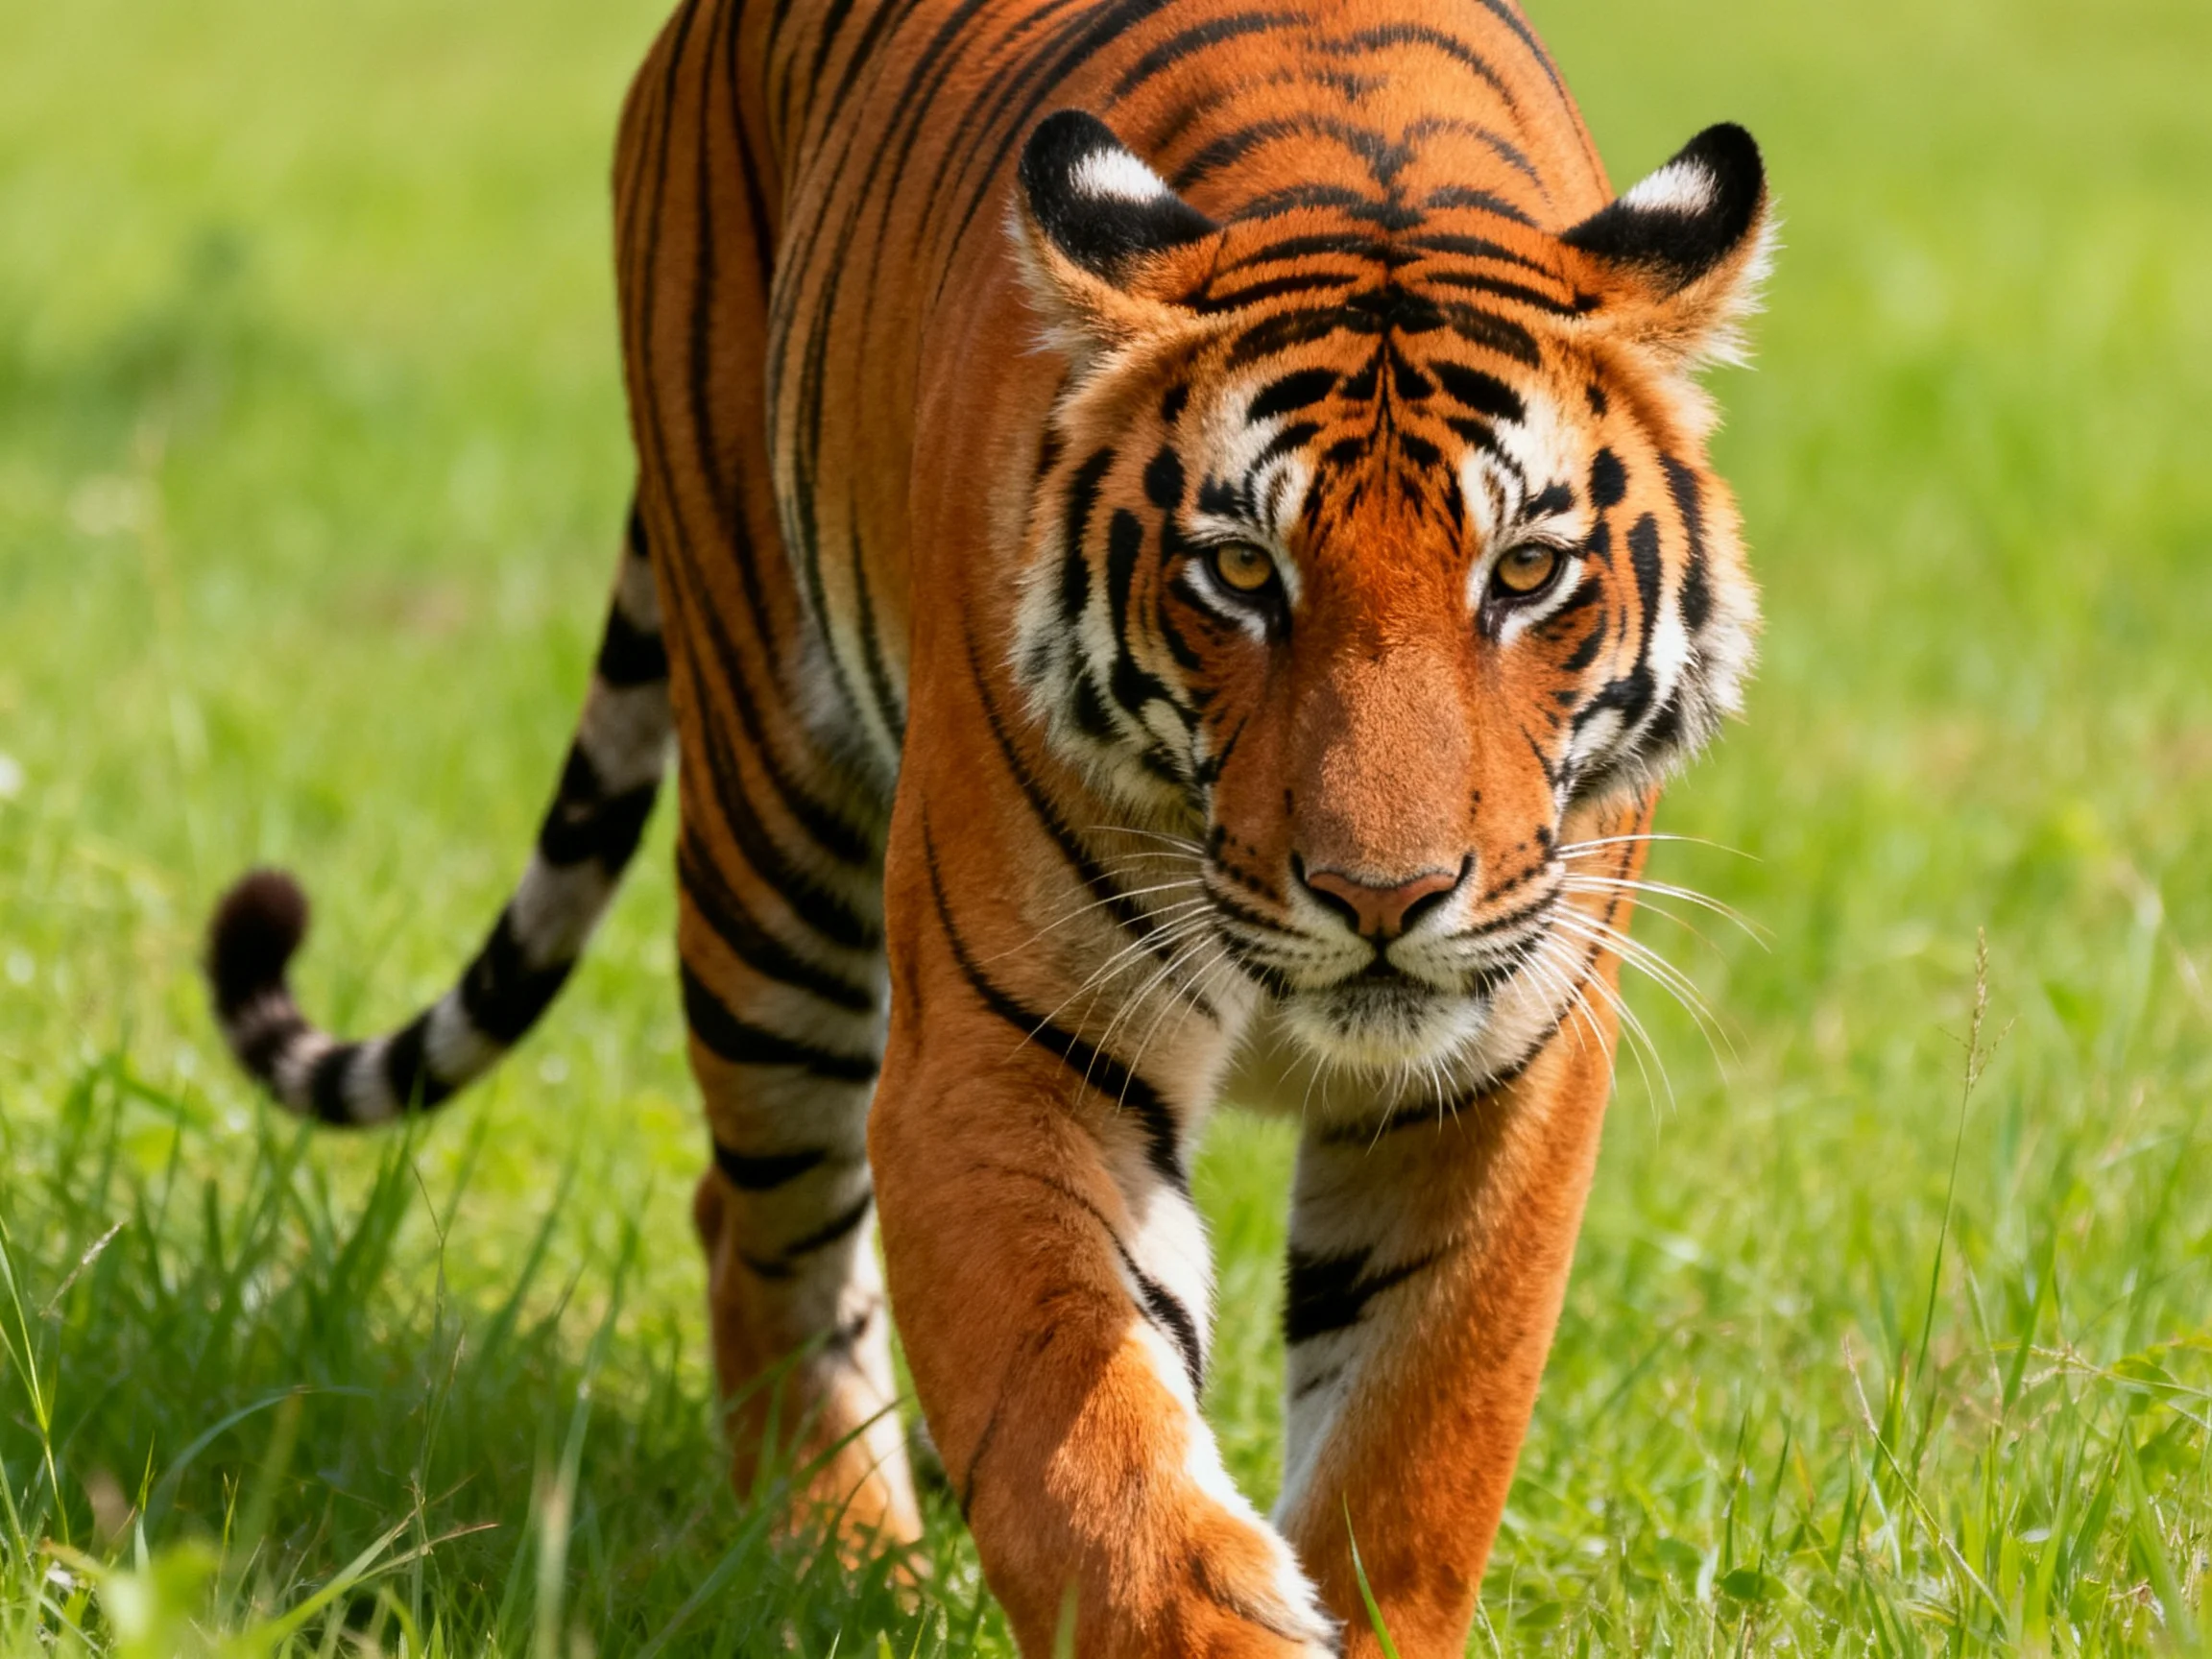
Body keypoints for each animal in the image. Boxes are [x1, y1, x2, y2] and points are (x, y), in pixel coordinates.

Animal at [203, 0, 1771, 1648]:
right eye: (1240, 573)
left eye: (1525, 573)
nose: (1381, 897)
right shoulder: (1009, 1055)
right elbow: (1094, 1460)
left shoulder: (1503, 1075)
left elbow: (1410, 1449)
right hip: (770, 819)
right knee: (761, 1217)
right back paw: (830, 1554)